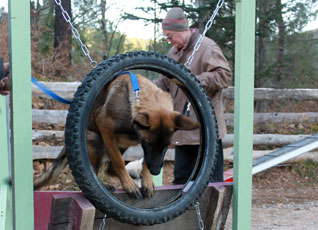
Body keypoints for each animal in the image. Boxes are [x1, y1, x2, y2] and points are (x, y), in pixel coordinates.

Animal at [33, 73, 200, 198]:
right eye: (149, 144)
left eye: (166, 147)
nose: (156, 172)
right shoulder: (105, 127)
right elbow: (118, 161)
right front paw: (129, 184)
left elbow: (144, 161)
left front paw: (147, 178)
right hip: (96, 142)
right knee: (99, 170)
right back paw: (107, 183)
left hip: (123, 144)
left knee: (110, 169)